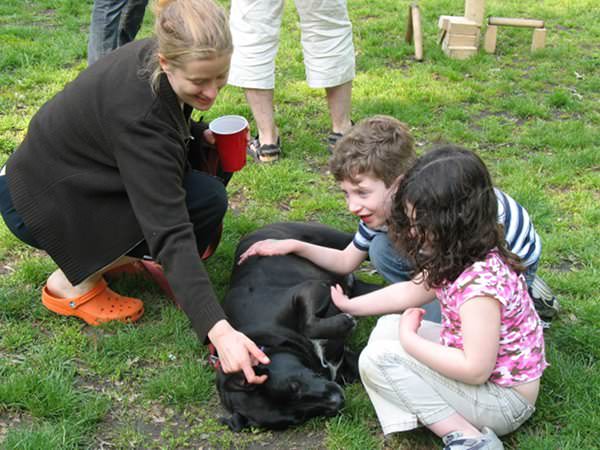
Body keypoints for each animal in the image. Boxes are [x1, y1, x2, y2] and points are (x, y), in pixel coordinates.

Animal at [216, 223, 378, 430]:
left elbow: (308, 323)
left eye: (295, 385)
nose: (338, 401)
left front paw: (345, 322)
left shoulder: (309, 289)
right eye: (298, 418)